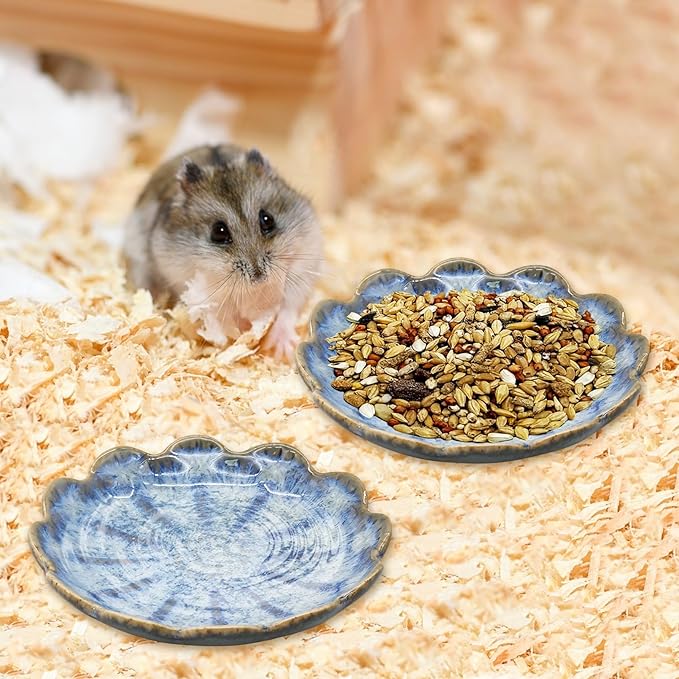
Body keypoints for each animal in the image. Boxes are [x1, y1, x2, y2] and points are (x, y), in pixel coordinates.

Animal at [123, 144, 322, 359]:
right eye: (218, 232)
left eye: (268, 219)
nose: (259, 277)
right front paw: (243, 331)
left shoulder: (303, 265)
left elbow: (288, 307)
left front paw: (280, 350)